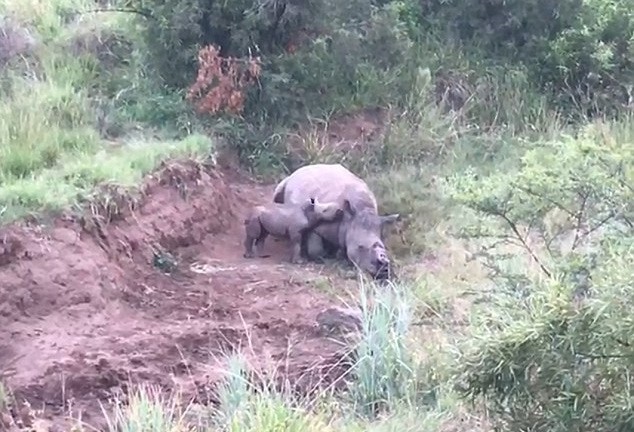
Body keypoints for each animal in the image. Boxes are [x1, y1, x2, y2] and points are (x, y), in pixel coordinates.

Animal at [272, 163, 400, 280]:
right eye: (360, 247)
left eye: (383, 247)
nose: (382, 272)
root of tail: (297, 171)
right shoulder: (319, 224)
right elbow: (316, 250)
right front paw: (326, 256)